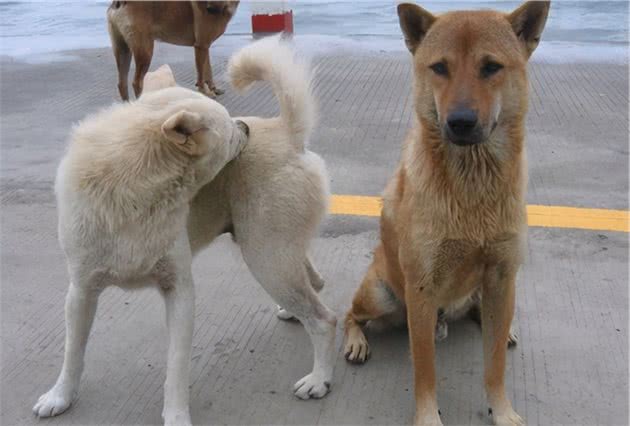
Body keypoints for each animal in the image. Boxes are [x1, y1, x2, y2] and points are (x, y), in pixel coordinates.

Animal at [34, 37, 338, 426]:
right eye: (229, 130)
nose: (245, 127)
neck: (131, 193)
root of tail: (286, 132)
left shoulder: (179, 291)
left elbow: (176, 368)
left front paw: (176, 416)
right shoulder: (81, 292)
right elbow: (73, 353)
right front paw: (60, 396)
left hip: (266, 259)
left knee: (324, 320)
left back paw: (320, 379)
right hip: (274, 252)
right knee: (315, 282)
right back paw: (295, 315)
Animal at [107, 0, 239, 100]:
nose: (209, 9)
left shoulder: (205, 47)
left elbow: (208, 69)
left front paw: (212, 88)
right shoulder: (201, 46)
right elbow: (201, 73)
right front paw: (205, 91)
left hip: (123, 50)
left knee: (122, 84)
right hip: (145, 51)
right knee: (137, 82)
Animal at [344, 1, 552, 424]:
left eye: (491, 67)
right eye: (439, 67)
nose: (460, 122)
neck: (472, 184)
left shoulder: (502, 275)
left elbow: (494, 366)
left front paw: (501, 410)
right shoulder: (422, 291)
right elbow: (425, 370)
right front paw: (428, 418)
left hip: (492, 291)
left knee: (486, 315)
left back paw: (500, 327)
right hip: (380, 294)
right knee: (348, 315)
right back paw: (356, 341)